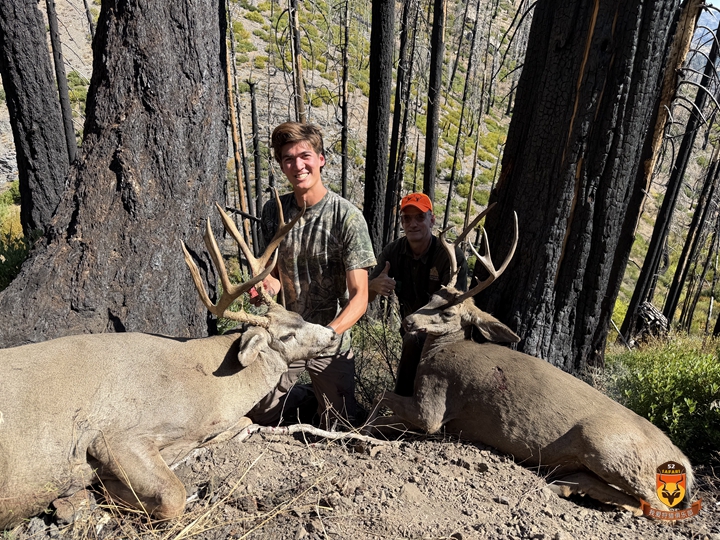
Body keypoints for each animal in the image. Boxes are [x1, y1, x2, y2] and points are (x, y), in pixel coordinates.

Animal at [0, 196, 340, 530]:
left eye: (297, 315)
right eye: (286, 335)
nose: (332, 333)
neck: (207, 386)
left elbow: (244, 423)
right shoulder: (113, 435)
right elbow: (174, 496)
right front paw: (110, 492)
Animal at [369, 206, 694, 516]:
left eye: (448, 312)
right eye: (432, 296)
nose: (409, 321)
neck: (444, 349)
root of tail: (686, 463)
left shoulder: (434, 407)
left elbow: (383, 399)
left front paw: (366, 432)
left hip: (604, 446)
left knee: (652, 505)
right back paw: (563, 485)